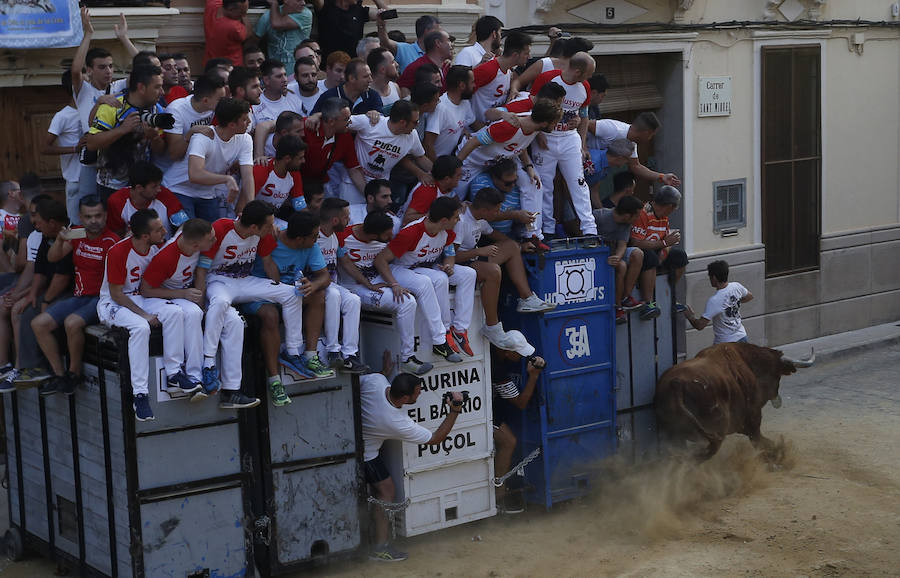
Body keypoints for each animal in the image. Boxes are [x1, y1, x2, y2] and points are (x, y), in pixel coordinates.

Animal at [652, 342, 816, 460]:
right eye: (777, 375)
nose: (776, 398)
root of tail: (677, 383)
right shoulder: (752, 419)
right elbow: (760, 441)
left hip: (676, 435)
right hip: (717, 430)